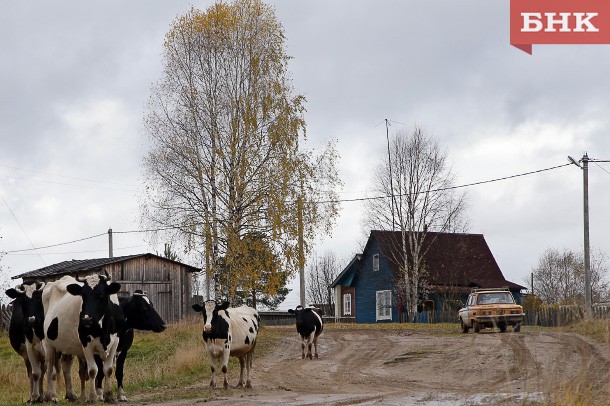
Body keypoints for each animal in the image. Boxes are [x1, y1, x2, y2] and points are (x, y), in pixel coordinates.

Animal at [41, 272, 121, 402]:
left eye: (101, 294)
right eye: (83, 295)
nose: (86, 319)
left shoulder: (115, 342)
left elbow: (108, 370)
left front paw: (109, 396)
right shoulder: (86, 344)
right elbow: (93, 370)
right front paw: (92, 398)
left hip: (68, 345)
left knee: (66, 366)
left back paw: (71, 395)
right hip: (48, 343)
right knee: (50, 367)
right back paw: (50, 395)